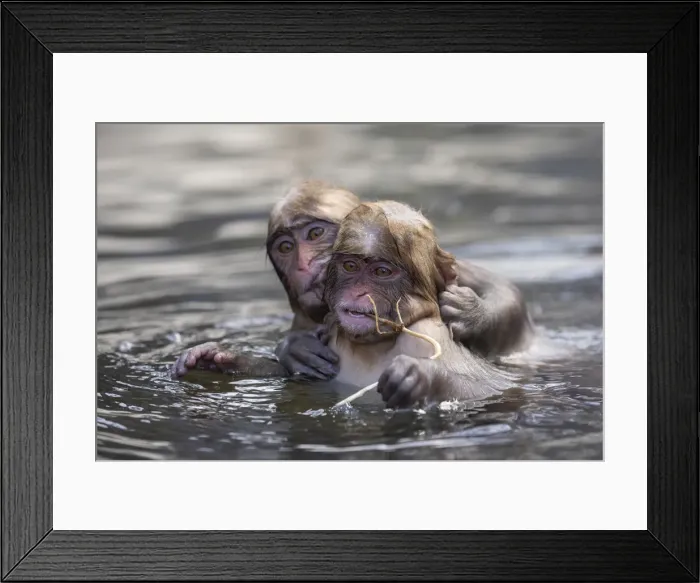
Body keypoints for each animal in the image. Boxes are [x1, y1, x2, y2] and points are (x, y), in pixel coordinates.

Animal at [324, 200, 516, 408]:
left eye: (382, 271)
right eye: (350, 266)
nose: (359, 292)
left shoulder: (426, 334)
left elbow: (488, 388)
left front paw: (422, 375)